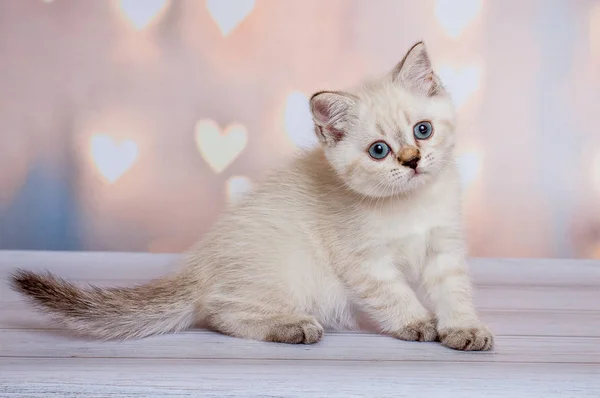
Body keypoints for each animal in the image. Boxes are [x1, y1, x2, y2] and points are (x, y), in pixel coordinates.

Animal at [9, 41, 494, 352]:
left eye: (422, 130)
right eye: (379, 151)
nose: (413, 160)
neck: (410, 206)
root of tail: (199, 267)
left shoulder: (444, 248)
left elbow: (454, 293)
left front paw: (463, 330)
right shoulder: (366, 261)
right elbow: (395, 295)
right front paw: (417, 324)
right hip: (291, 274)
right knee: (220, 313)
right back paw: (293, 327)